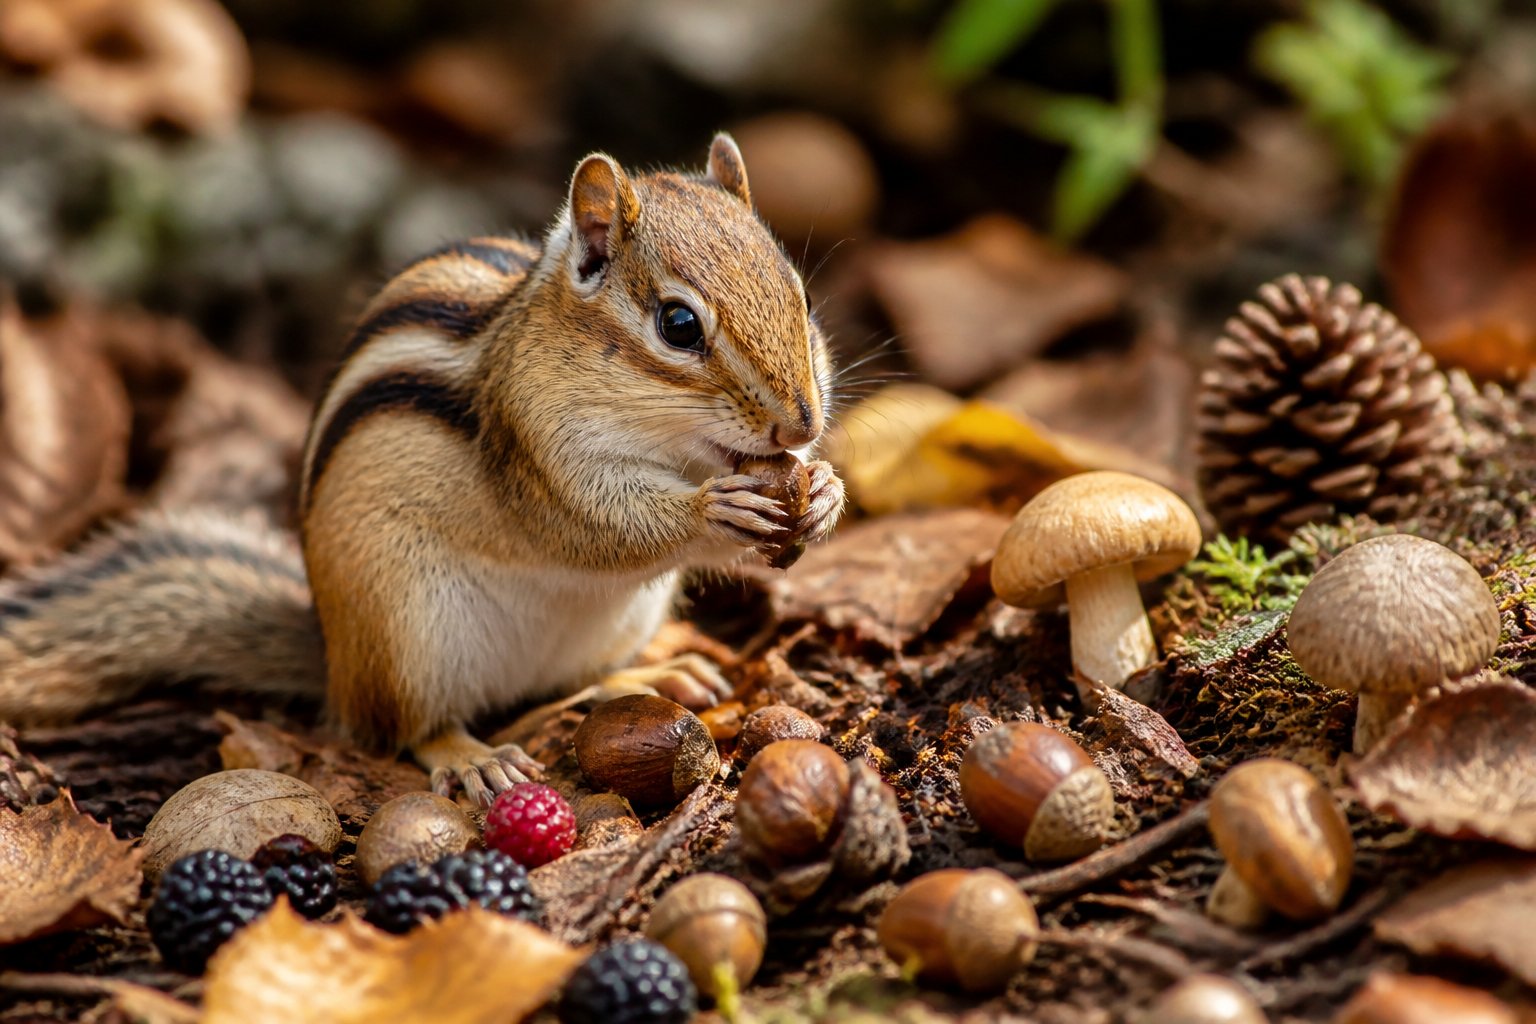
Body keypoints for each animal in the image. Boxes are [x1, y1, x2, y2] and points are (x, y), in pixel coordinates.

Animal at [0, 135, 844, 805]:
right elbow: (599, 528)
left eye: (801, 296)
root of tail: (337, 661)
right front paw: (714, 510)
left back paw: (665, 674)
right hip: (408, 631)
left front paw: (825, 490)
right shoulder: (534, 451)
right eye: (678, 325)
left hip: (611, 622)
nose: (801, 423)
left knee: (570, 684)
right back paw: (473, 759)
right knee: (413, 727)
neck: (667, 442)